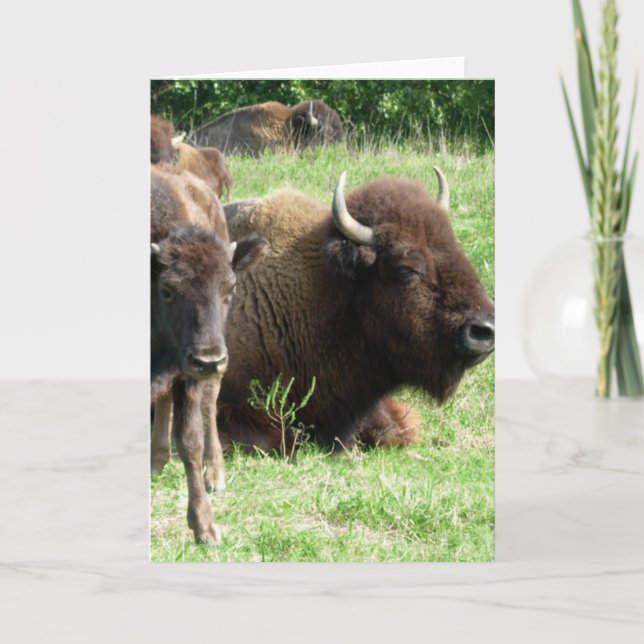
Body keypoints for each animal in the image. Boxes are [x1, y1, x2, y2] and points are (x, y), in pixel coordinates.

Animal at [151, 164, 268, 543]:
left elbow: (190, 441)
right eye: (167, 290)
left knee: (209, 402)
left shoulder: (187, 375)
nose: (209, 359)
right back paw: (156, 459)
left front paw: (205, 529)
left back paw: (215, 475)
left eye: (229, 288)